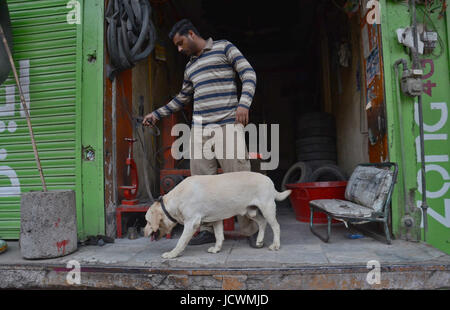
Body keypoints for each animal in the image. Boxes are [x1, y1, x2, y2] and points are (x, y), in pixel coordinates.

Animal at [144, 172, 292, 260]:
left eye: (147, 221)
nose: (143, 232)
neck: (177, 198)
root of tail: (269, 180)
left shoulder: (191, 223)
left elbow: (181, 241)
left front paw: (172, 254)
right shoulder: (217, 219)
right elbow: (219, 235)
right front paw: (217, 248)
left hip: (267, 208)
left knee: (276, 226)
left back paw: (275, 245)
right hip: (250, 211)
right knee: (262, 222)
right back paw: (259, 240)